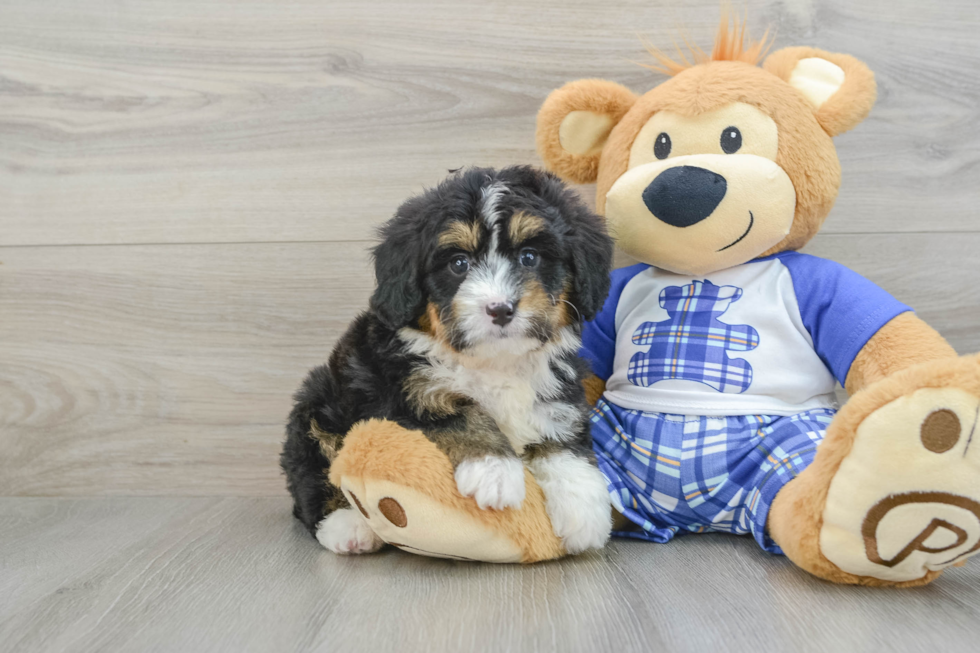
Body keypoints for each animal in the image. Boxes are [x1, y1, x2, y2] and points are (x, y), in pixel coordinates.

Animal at [280, 164, 612, 556]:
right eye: (458, 263)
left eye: (530, 257)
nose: (500, 308)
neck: (493, 362)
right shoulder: (398, 392)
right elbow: (461, 413)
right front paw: (494, 472)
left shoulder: (560, 387)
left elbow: (561, 438)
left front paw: (583, 508)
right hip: (317, 405)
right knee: (311, 474)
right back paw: (347, 525)